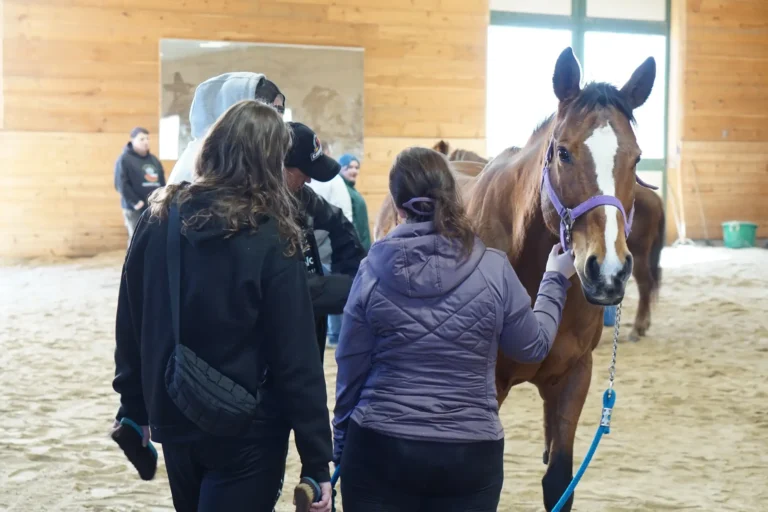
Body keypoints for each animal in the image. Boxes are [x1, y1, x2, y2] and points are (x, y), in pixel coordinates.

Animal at [375, 47, 657, 511]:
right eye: (563, 152)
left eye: (635, 158)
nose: (608, 271)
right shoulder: (486, 389)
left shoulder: (575, 377)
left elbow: (558, 481)